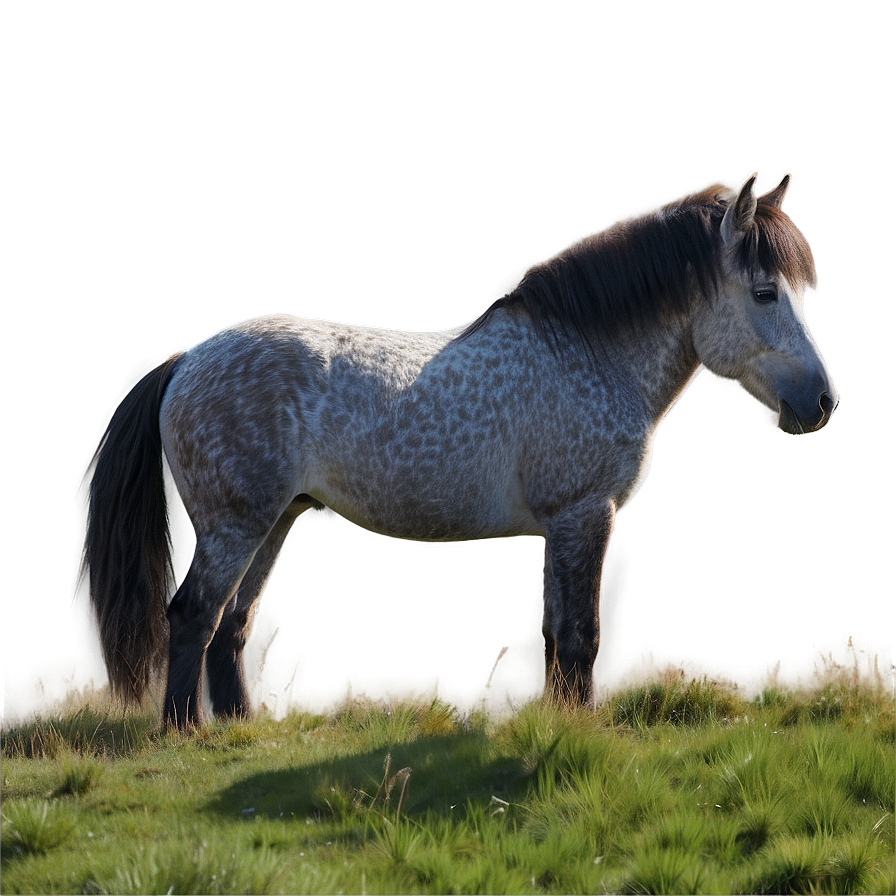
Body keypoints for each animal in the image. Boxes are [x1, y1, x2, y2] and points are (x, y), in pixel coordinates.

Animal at [82, 175, 838, 729]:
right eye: (765, 291)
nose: (822, 402)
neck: (585, 354)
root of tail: (187, 360)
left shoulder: (559, 526)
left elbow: (553, 637)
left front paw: (559, 721)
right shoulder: (585, 515)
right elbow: (581, 637)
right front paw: (583, 727)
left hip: (274, 521)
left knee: (231, 626)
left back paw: (239, 729)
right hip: (234, 525)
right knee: (193, 616)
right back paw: (184, 731)